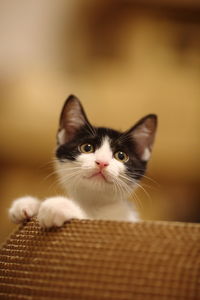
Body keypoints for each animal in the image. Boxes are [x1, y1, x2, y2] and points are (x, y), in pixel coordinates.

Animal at [9, 96, 156, 227]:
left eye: (121, 156)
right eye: (87, 148)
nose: (102, 162)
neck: (94, 205)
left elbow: (88, 220)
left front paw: (59, 206)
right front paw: (29, 204)